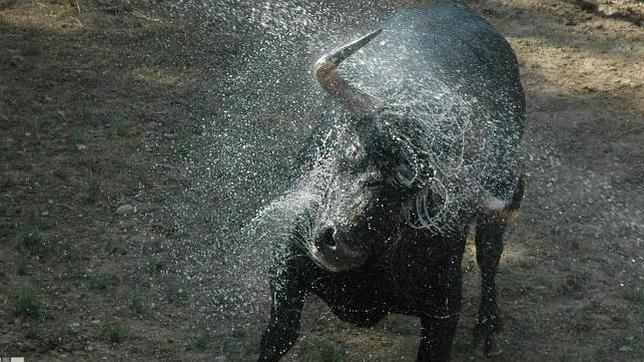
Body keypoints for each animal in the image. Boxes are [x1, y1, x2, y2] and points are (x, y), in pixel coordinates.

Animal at [255, 1, 524, 360]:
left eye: (417, 190)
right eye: (354, 147)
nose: (340, 243)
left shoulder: (444, 309)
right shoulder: (286, 265)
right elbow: (279, 337)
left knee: (490, 253)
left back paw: (489, 327)